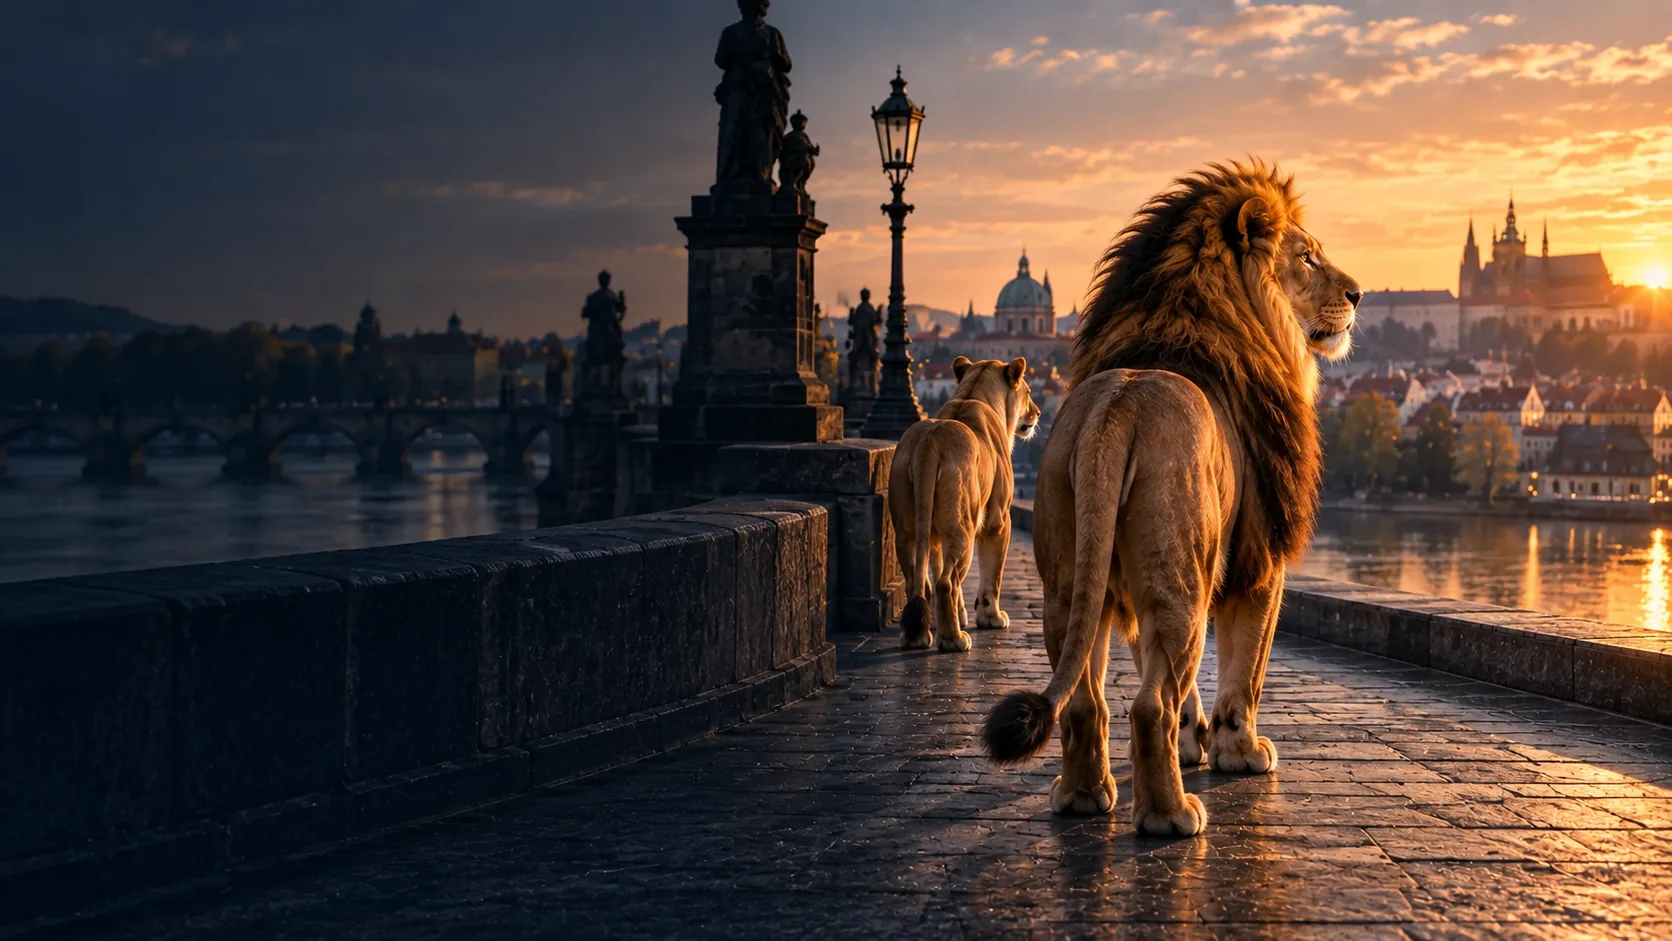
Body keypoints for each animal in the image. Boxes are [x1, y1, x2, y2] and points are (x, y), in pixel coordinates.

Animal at [890, 356, 1041, 652]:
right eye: (1028, 392)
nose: (1038, 413)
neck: (973, 393)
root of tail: (929, 443)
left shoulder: (936, 536)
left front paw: (957, 616)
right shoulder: (998, 520)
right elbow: (992, 575)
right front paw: (991, 618)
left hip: (909, 530)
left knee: (920, 580)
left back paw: (917, 635)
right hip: (965, 527)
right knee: (946, 582)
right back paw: (954, 640)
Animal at [980, 161, 1361, 836]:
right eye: (1307, 257)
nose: (1361, 293)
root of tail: (1115, 412)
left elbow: (1187, 693)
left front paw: (1193, 746)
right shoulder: (1261, 562)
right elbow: (1245, 673)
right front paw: (1240, 752)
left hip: (1073, 584)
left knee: (1086, 700)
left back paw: (1083, 797)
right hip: (1182, 585)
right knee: (1148, 706)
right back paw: (1172, 815)